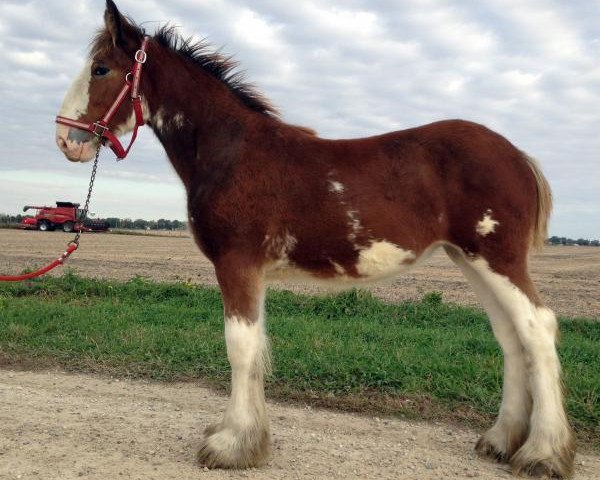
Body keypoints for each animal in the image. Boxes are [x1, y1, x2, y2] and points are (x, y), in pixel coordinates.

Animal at [55, 1, 576, 478]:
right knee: (510, 336)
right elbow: (256, 347)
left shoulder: (236, 264)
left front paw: (230, 446)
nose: (65, 141)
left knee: (537, 328)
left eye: (101, 68)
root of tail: (518, 155)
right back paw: (501, 440)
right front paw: (246, 438)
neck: (232, 152)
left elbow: (240, 347)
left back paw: (543, 453)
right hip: (469, 259)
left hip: (497, 258)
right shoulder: (252, 271)